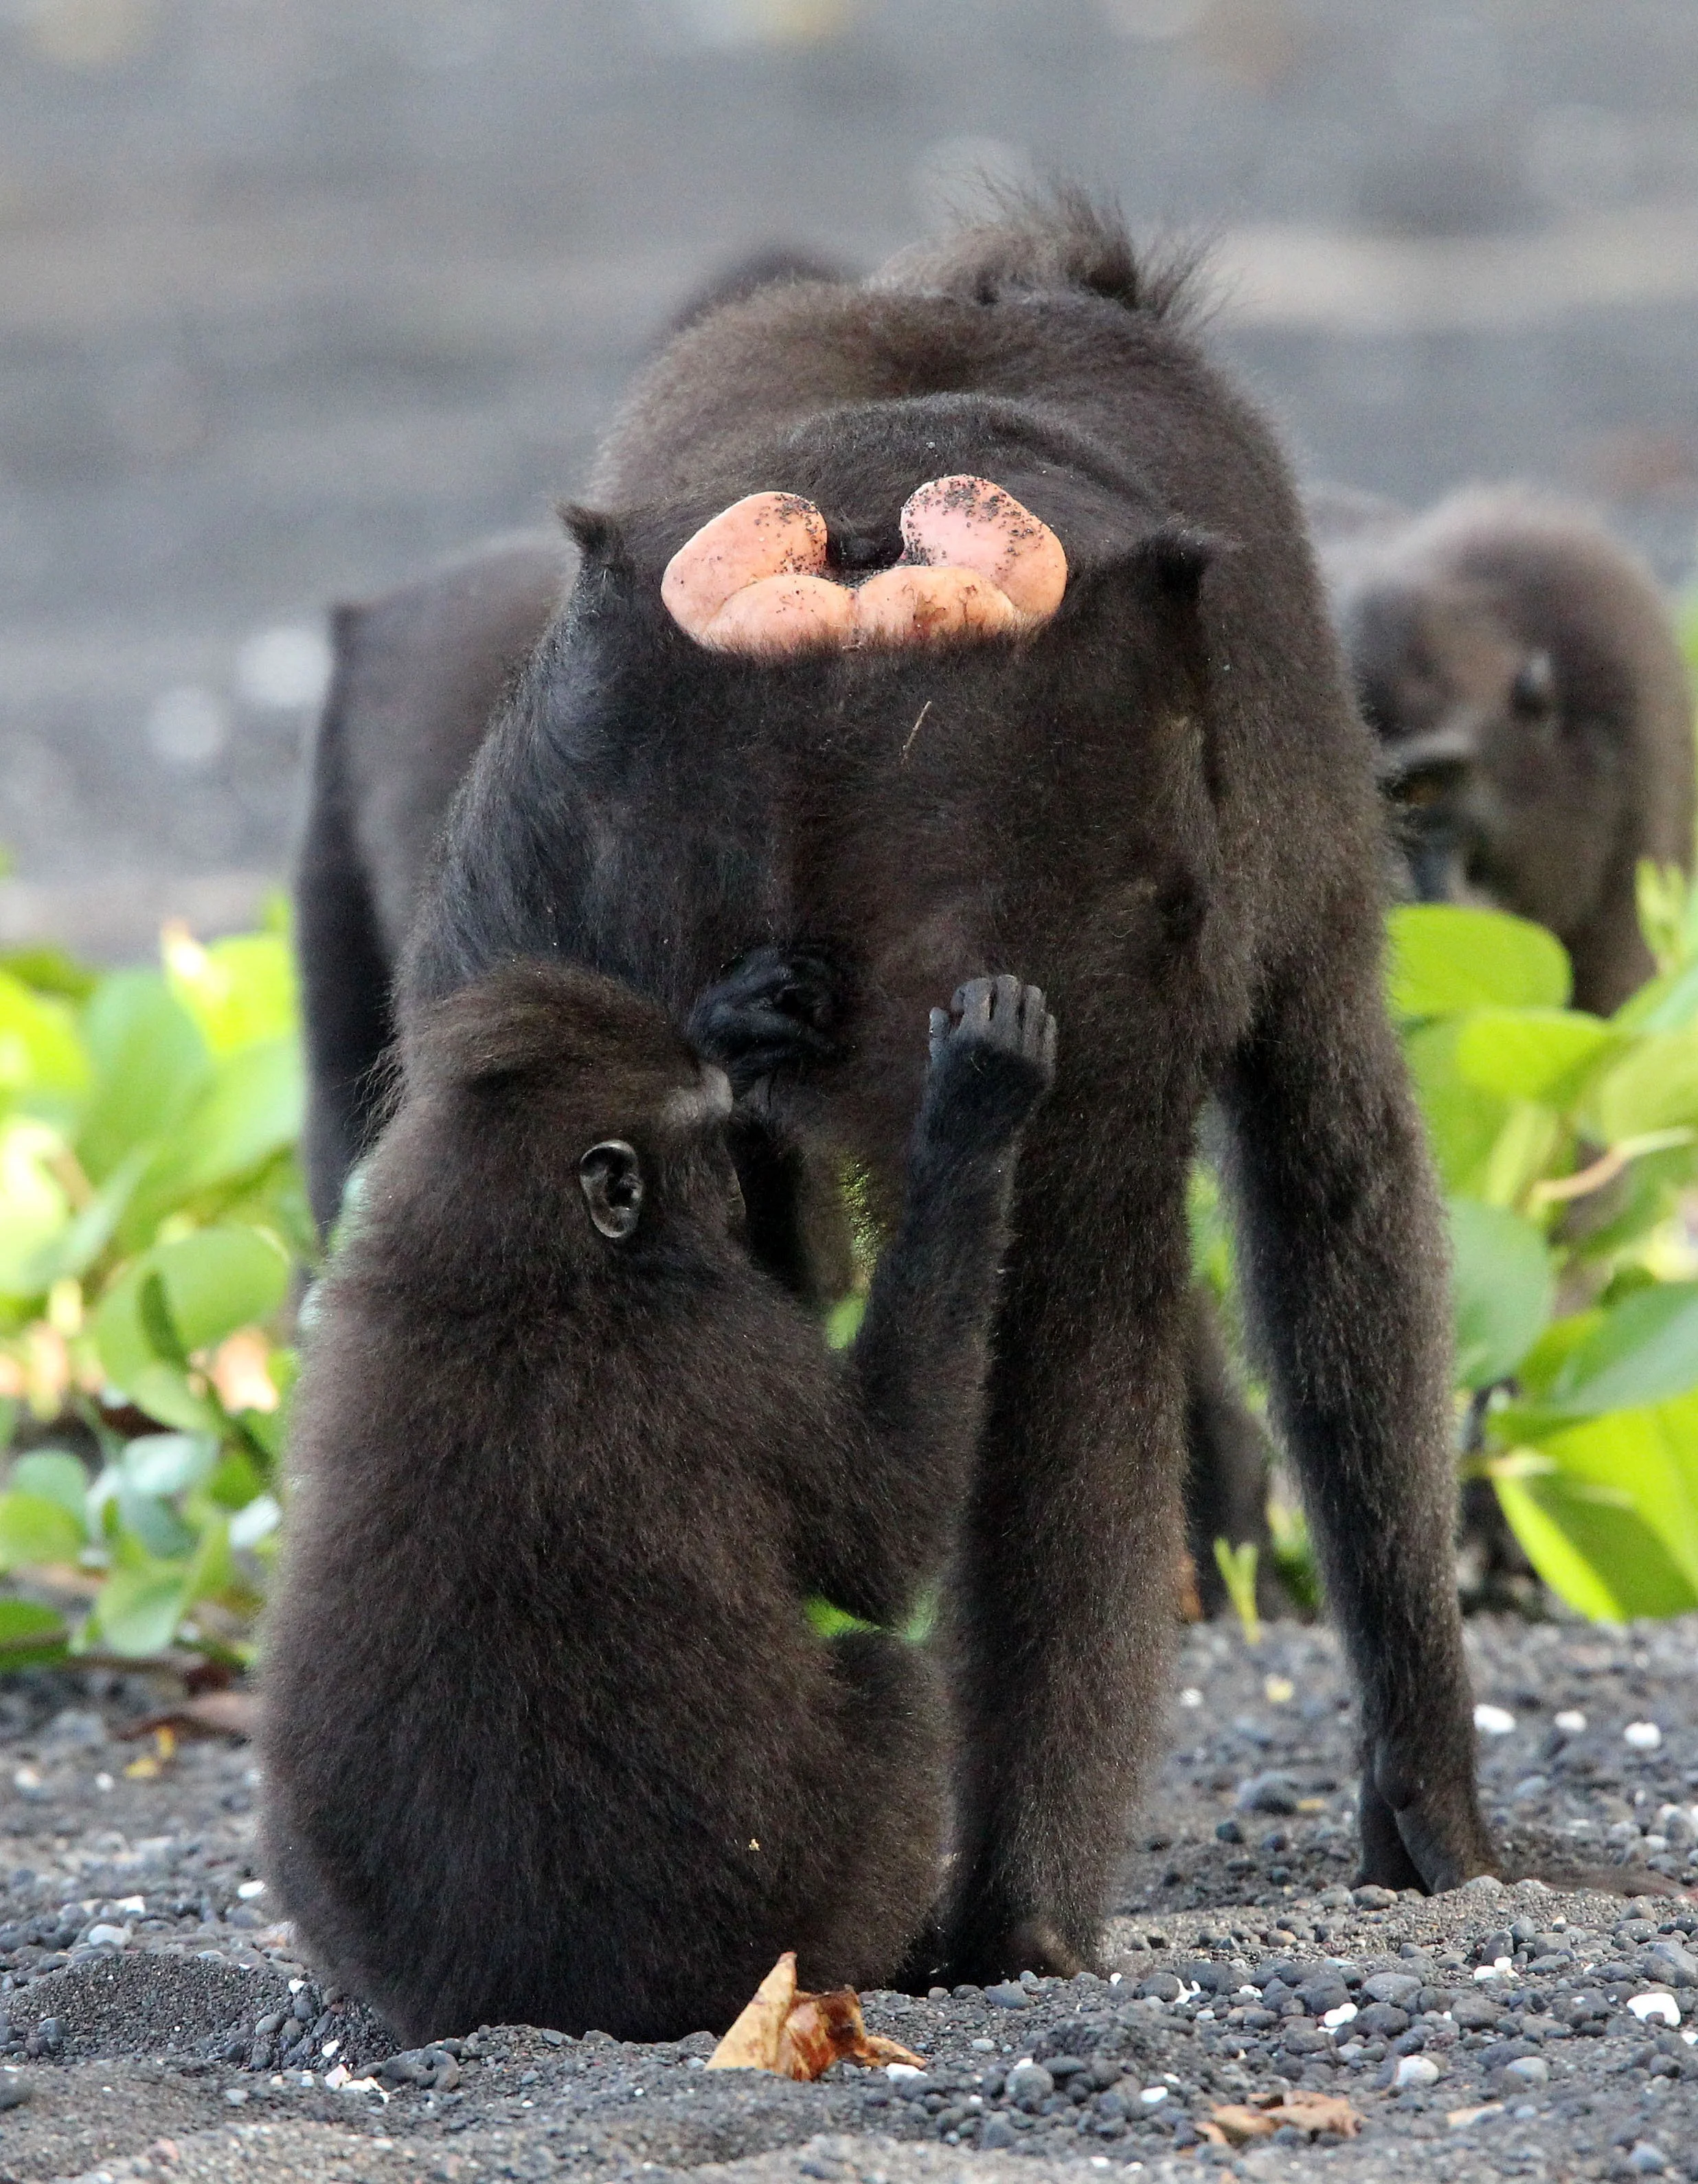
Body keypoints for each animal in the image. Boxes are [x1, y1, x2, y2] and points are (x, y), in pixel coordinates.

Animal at [260, 957, 1057, 2045]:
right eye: (713, 1146)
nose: (732, 1194)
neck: (524, 1270)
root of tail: (529, 2001)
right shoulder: (729, 1336)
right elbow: (884, 1547)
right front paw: (972, 1107)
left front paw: (732, 1022)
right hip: (774, 1930)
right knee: (892, 1681)